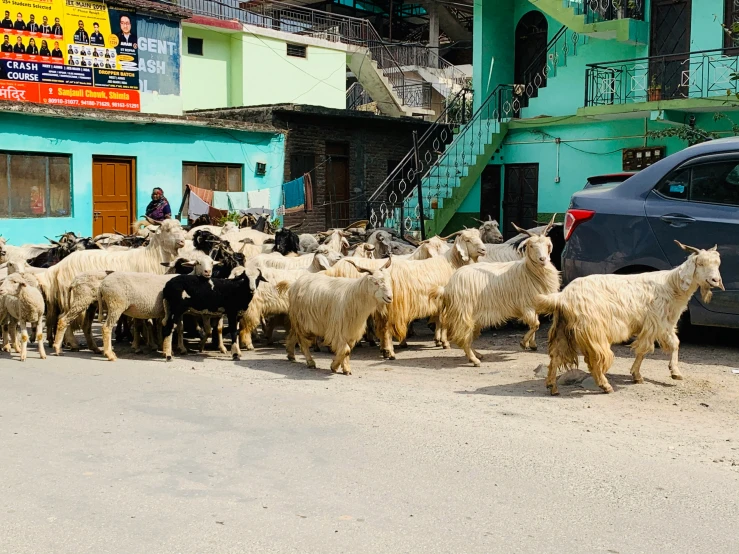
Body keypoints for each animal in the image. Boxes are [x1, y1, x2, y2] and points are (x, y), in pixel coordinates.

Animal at [440, 217, 560, 366]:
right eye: (531, 246)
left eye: (547, 245)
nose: (542, 259)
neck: (529, 271)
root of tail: (450, 284)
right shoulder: (526, 306)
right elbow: (535, 325)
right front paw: (523, 343)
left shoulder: (535, 305)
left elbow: (535, 325)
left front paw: (532, 344)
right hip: (464, 313)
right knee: (462, 338)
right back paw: (474, 359)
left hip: (474, 318)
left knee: (467, 337)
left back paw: (477, 354)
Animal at [536, 240, 724, 392]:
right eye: (700, 263)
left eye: (718, 264)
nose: (715, 280)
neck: (672, 286)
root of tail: (563, 296)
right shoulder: (656, 323)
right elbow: (646, 349)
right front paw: (644, 374)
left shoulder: (664, 324)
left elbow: (674, 344)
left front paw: (672, 372)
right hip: (593, 329)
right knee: (595, 358)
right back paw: (605, 385)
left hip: (562, 328)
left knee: (556, 355)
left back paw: (552, 386)